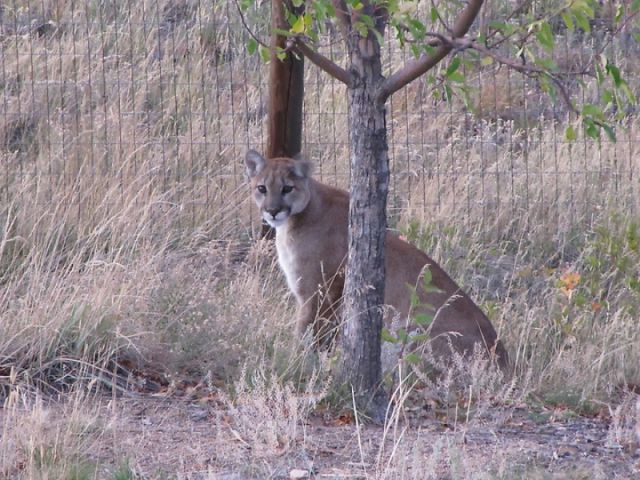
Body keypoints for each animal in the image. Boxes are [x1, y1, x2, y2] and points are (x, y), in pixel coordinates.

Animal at [245, 150, 510, 372]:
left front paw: (296, 360)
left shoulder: (319, 293)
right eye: (262, 188)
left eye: (287, 188)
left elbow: (306, 332)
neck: (296, 220)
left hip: (413, 332)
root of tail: (504, 359)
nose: (272, 211)